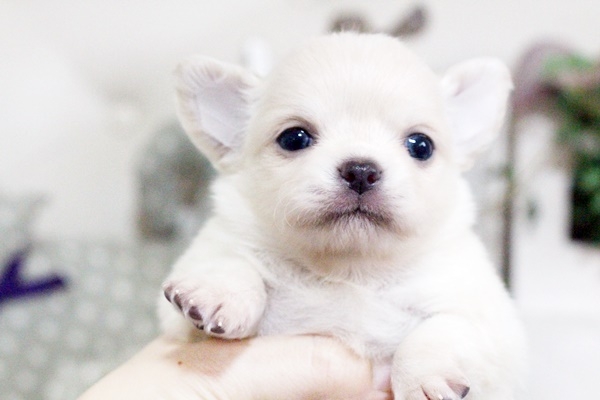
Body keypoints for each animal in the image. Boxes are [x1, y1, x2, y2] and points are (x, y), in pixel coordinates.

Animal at [159, 32, 526, 399]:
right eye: (293, 138)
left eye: (421, 146)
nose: (361, 170)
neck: (351, 271)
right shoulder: (182, 325)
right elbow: (235, 262)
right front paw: (219, 292)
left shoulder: (491, 327)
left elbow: (440, 329)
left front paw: (424, 379)